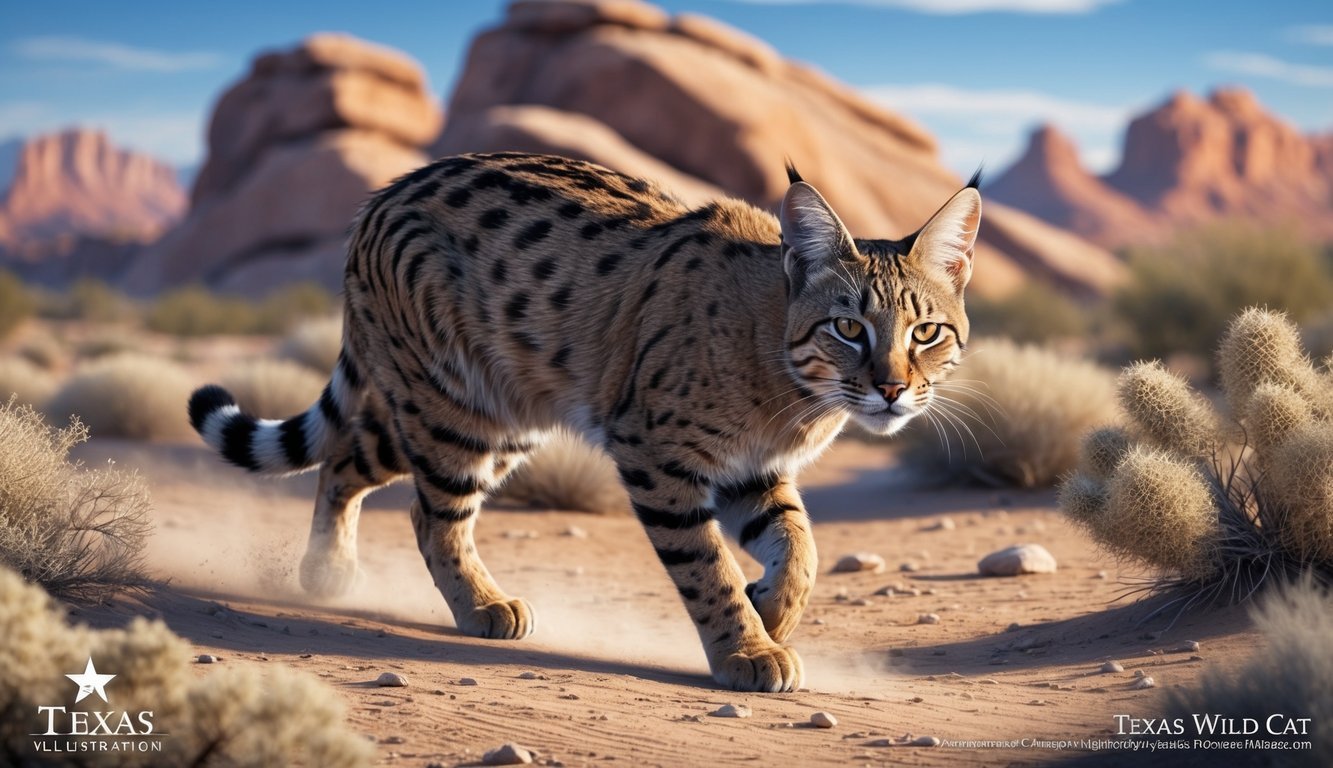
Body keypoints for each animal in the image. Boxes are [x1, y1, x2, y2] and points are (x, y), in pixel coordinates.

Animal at [190, 153, 981, 693]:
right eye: (848, 327)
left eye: (926, 333)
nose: (892, 391)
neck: (792, 383)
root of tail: (383, 193)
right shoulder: (656, 453)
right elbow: (708, 566)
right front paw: (746, 649)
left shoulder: (752, 468)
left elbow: (800, 545)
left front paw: (773, 614)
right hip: (453, 406)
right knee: (428, 514)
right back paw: (476, 604)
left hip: (492, 410)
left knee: (347, 460)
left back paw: (328, 571)